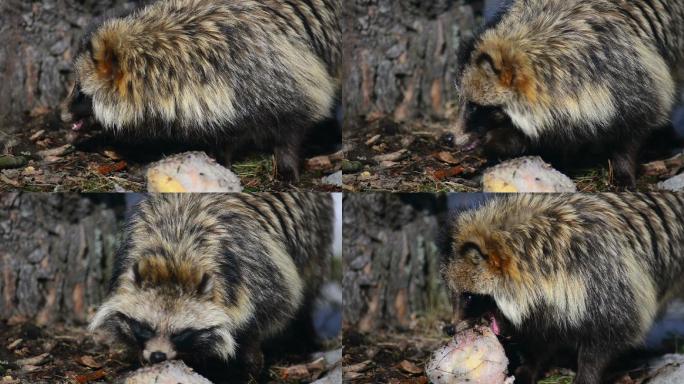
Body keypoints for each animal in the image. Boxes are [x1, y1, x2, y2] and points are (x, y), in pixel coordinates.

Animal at [62, 0, 342, 181]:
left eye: (81, 93)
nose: (62, 115)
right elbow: (226, 132)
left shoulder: (279, 74)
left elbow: (292, 126)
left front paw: (286, 166)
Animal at [88, 194, 334, 380]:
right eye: (146, 327)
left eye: (181, 333)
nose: (158, 356)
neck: (176, 255)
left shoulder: (261, 273)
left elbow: (270, 315)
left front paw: (249, 361)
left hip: (315, 240)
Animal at [444, 194, 684, 384]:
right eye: (454, 294)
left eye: (469, 297)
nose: (449, 329)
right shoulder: (551, 304)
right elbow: (543, 336)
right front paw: (530, 367)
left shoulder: (607, 283)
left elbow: (606, 341)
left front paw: (586, 376)